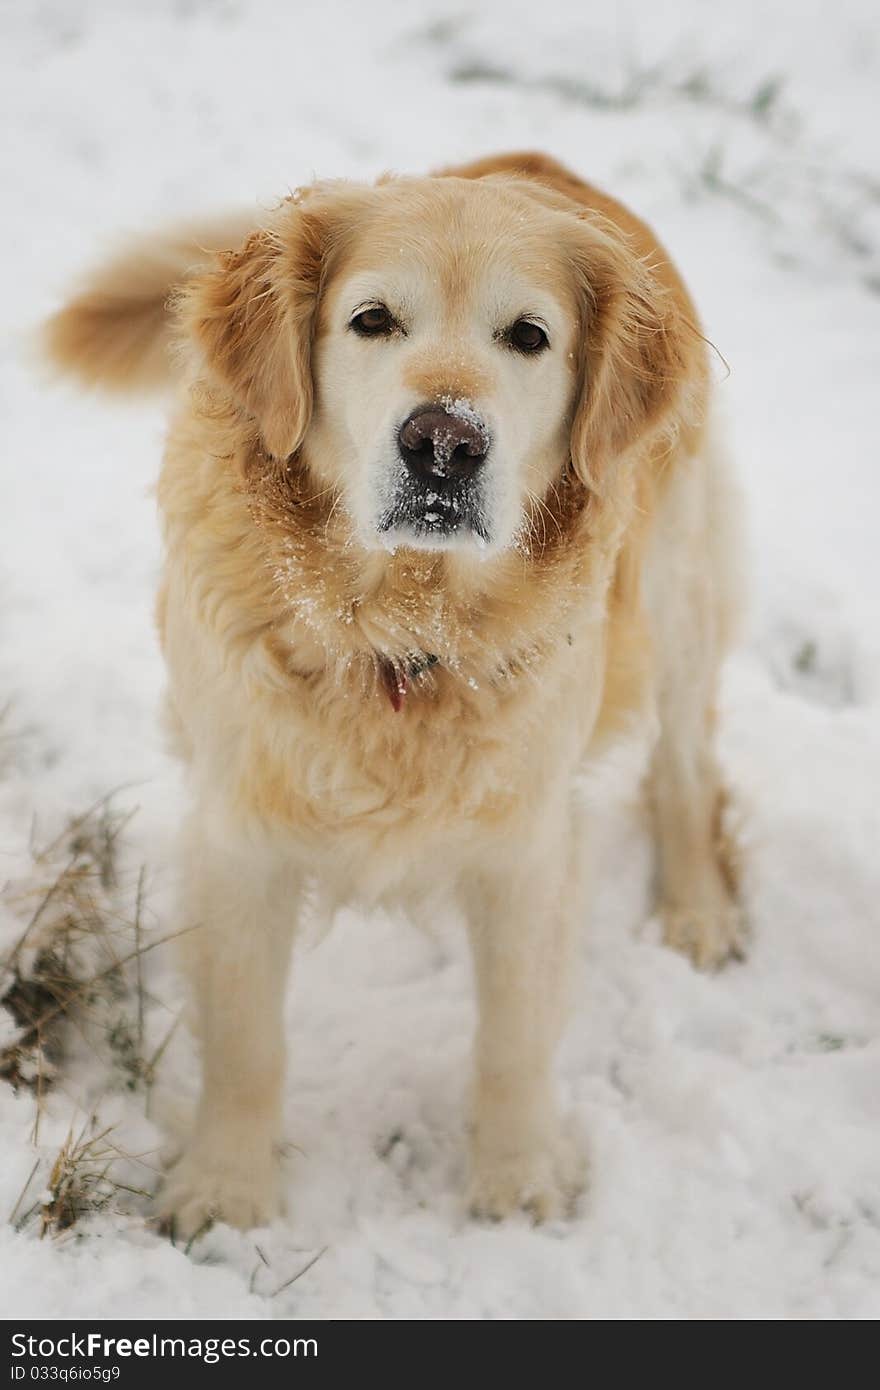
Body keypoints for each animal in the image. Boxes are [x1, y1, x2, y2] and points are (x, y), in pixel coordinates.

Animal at [42, 152, 739, 1234]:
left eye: (528, 336)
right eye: (372, 320)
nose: (444, 443)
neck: (403, 633)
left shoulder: (525, 843)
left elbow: (512, 1035)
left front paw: (516, 1178)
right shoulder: (241, 830)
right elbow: (246, 1038)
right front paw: (226, 1187)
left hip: (675, 594)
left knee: (685, 762)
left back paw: (697, 908)